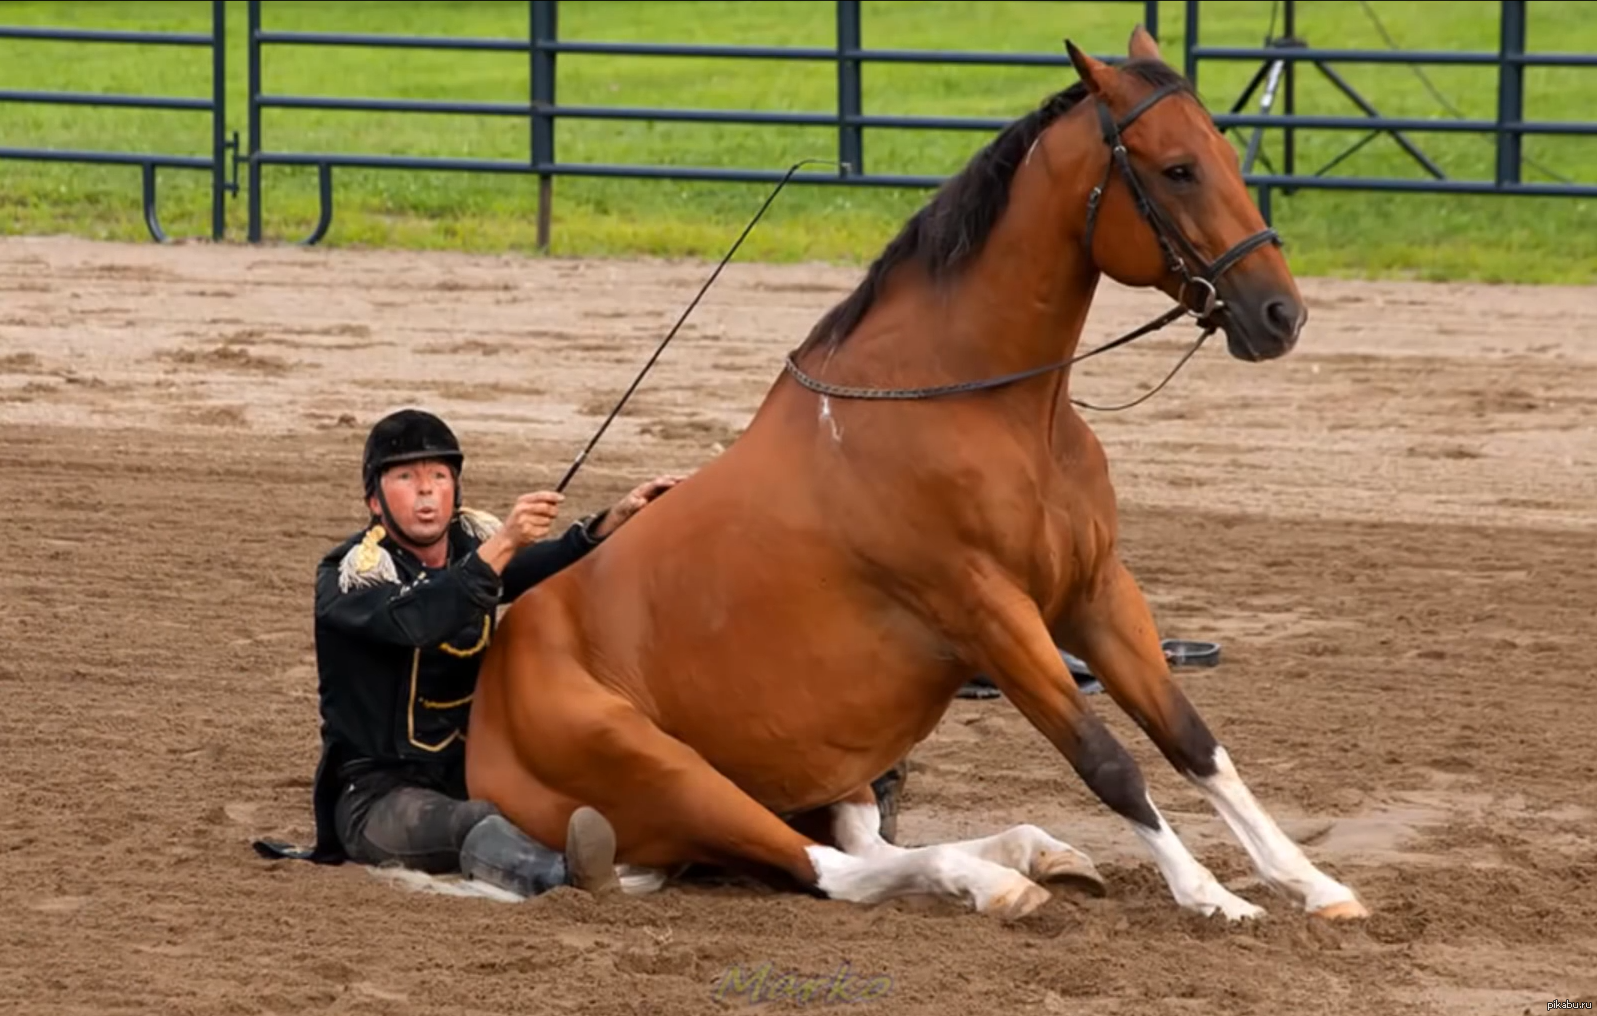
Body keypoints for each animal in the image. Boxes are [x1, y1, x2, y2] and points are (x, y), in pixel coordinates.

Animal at [466, 29, 1373, 920]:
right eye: (1177, 168)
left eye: (1225, 153)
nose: (1280, 315)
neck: (984, 411)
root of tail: (491, 693)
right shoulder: (988, 616)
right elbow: (1106, 758)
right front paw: (1210, 896)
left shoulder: (1094, 595)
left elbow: (1193, 742)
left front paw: (1312, 884)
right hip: (670, 773)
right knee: (832, 870)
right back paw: (999, 883)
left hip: (815, 768)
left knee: (866, 845)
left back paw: (1036, 854)